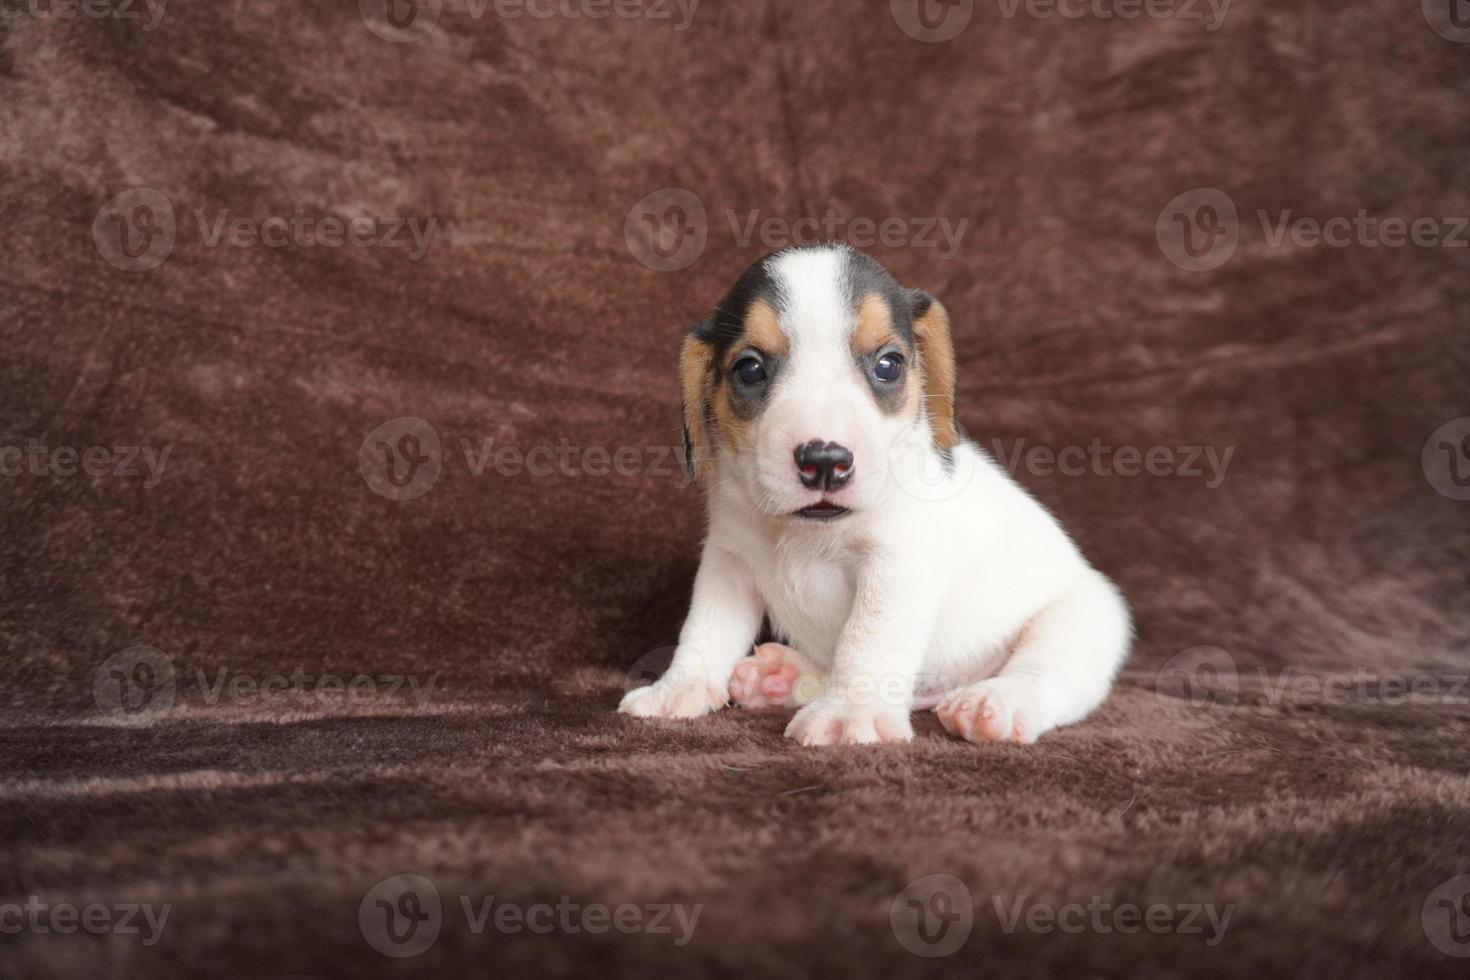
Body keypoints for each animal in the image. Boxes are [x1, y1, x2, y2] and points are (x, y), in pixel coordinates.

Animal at [614, 249, 1128, 746]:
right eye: (750, 369)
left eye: (888, 365)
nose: (824, 461)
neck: (808, 532)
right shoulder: (728, 565)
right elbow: (706, 631)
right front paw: (679, 688)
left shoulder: (896, 566)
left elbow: (866, 642)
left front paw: (850, 714)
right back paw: (782, 677)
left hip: (1077, 623)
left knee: (1040, 674)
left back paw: (996, 702)